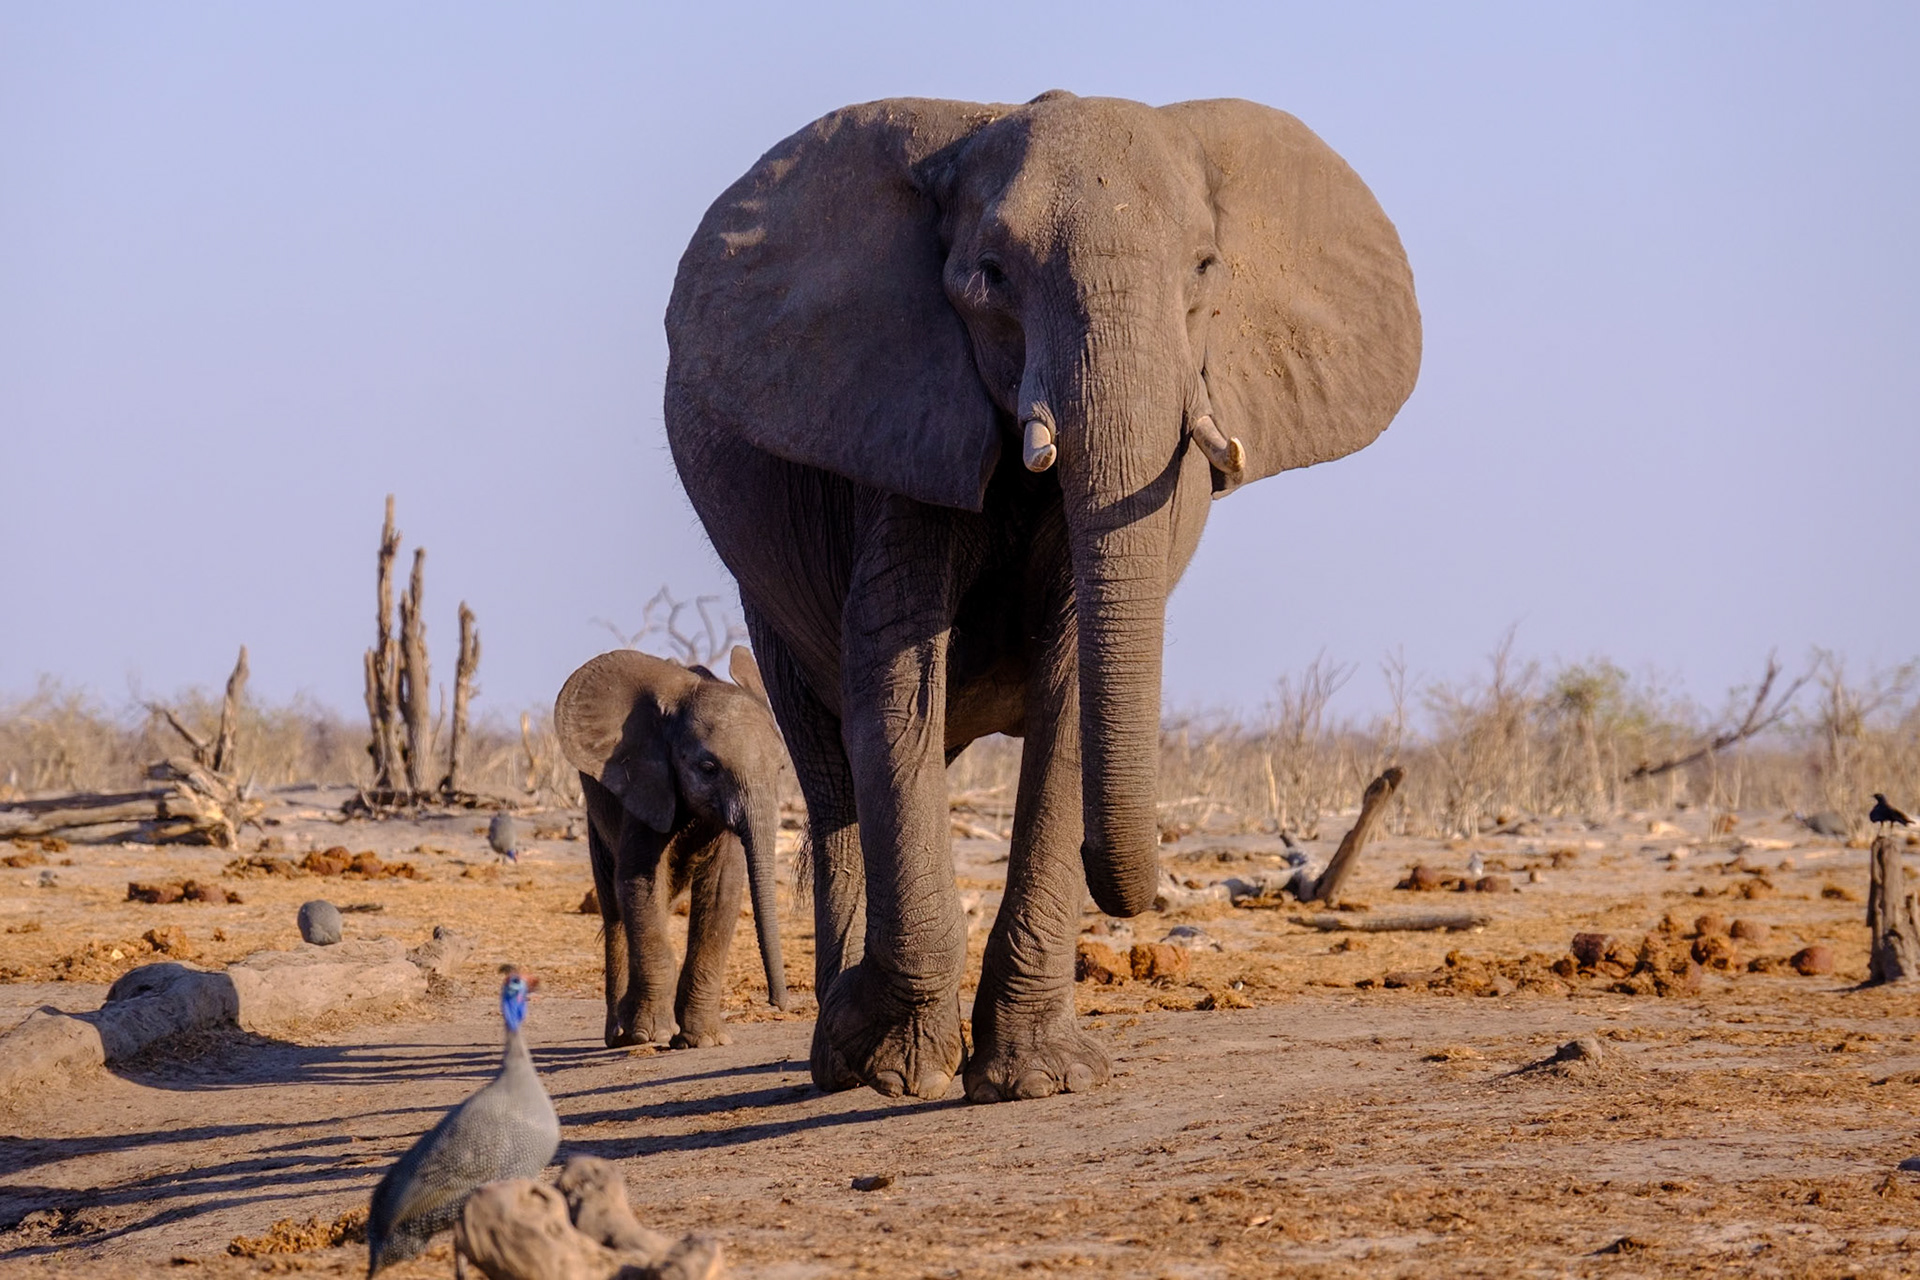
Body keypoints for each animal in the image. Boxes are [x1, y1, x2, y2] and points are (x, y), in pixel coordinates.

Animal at [554, 646, 789, 1049]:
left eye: (780, 770)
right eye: (708, 768)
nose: (779, 1004)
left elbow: (723, 890)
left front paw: (704, 1040)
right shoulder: (645, 784)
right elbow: (638, 880)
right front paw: (651, 1034)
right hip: (594, 820)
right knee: (614, 906)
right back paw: (623, 1035)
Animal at [663, 91, 1420, 1101]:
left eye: (1205, 267)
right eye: (988, 276)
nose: (1136, 887)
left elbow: (1068, 687)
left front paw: (1040, 1079)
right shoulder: (899, 424)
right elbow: (897, 677)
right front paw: (893, 1070)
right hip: (767, 591)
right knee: (831, 765)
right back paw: (838, 1054)